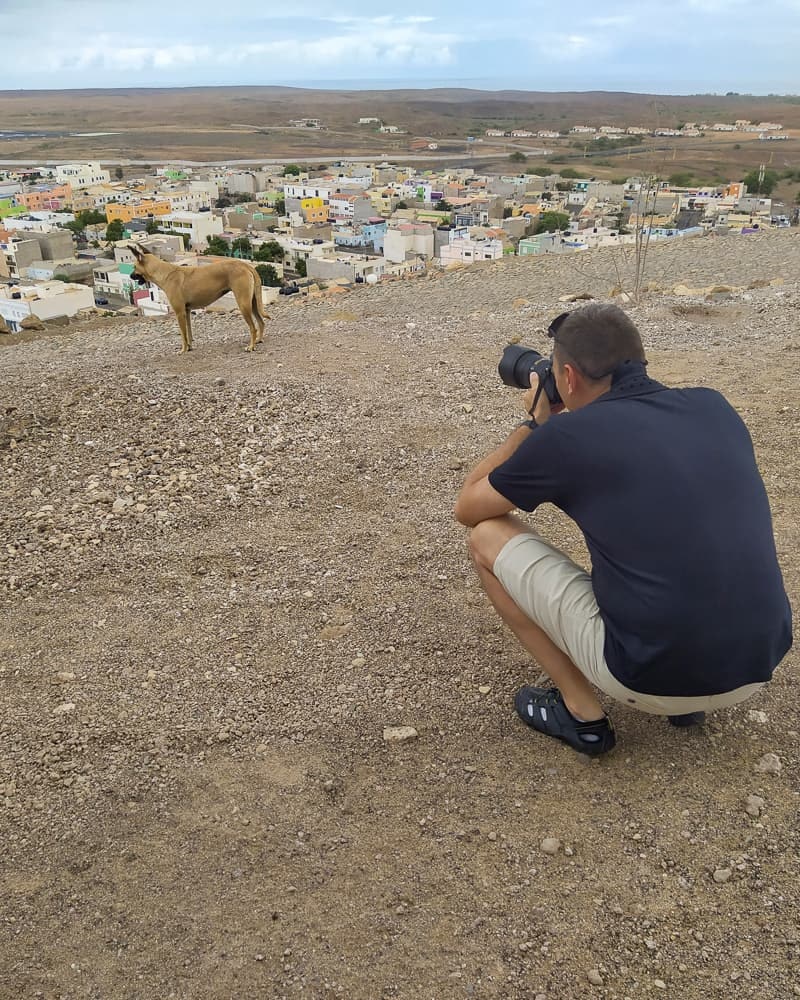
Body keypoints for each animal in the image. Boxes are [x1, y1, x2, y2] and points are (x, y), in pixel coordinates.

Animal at [130, 246, 270, 356]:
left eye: (134, 266)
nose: (131, 276)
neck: (165, 273)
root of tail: (245, 265)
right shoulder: (186, 311)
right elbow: (188, 332)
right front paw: (189, 347)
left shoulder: (179, 312)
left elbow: (183, 334)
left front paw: (183, 350)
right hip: (253, 303)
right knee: (261, 322)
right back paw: (258, 340)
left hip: (243, 304)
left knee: (253, 327)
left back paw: (251, 346)